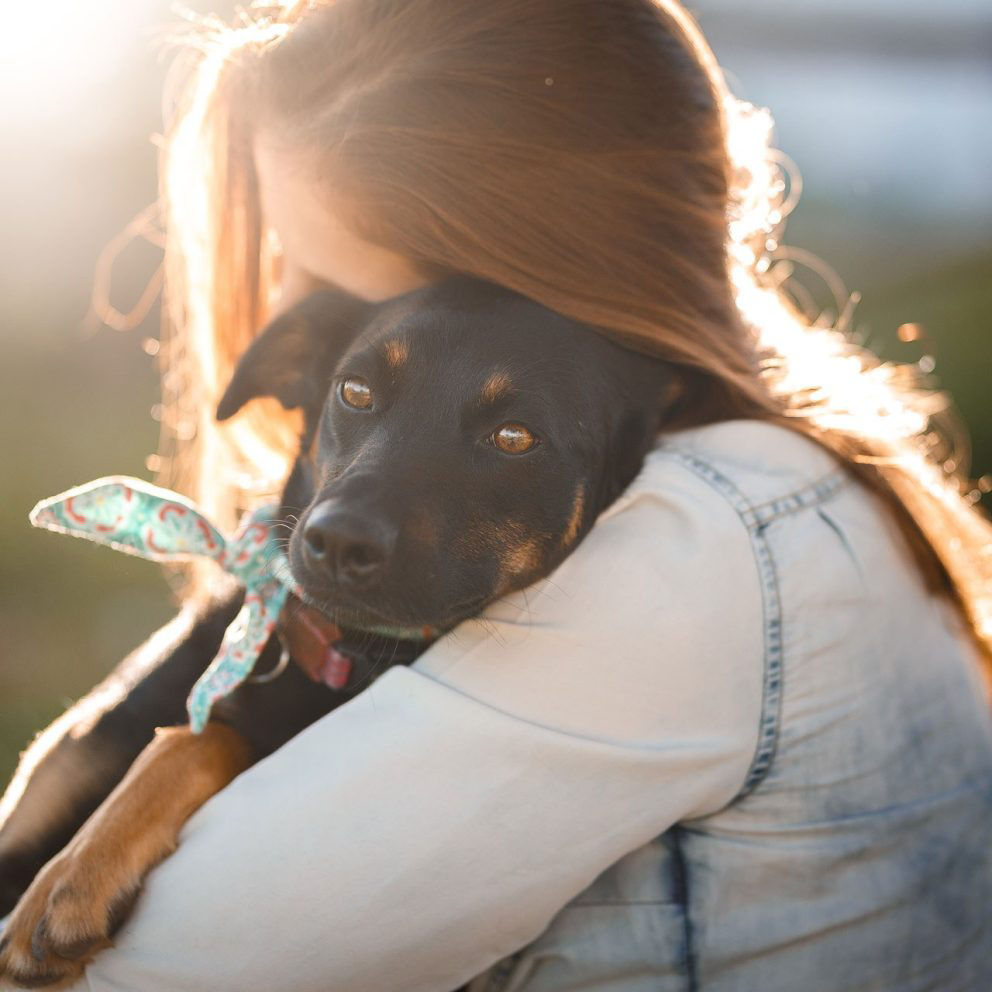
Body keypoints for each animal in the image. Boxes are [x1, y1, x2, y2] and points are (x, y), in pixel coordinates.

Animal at [0, 276, 676, 988]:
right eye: (355, 390)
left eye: (515, 436)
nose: (337, 541)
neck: (341, 652)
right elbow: (186, 735)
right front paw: (79, 868)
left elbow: (198, 737)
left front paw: (74, 876)